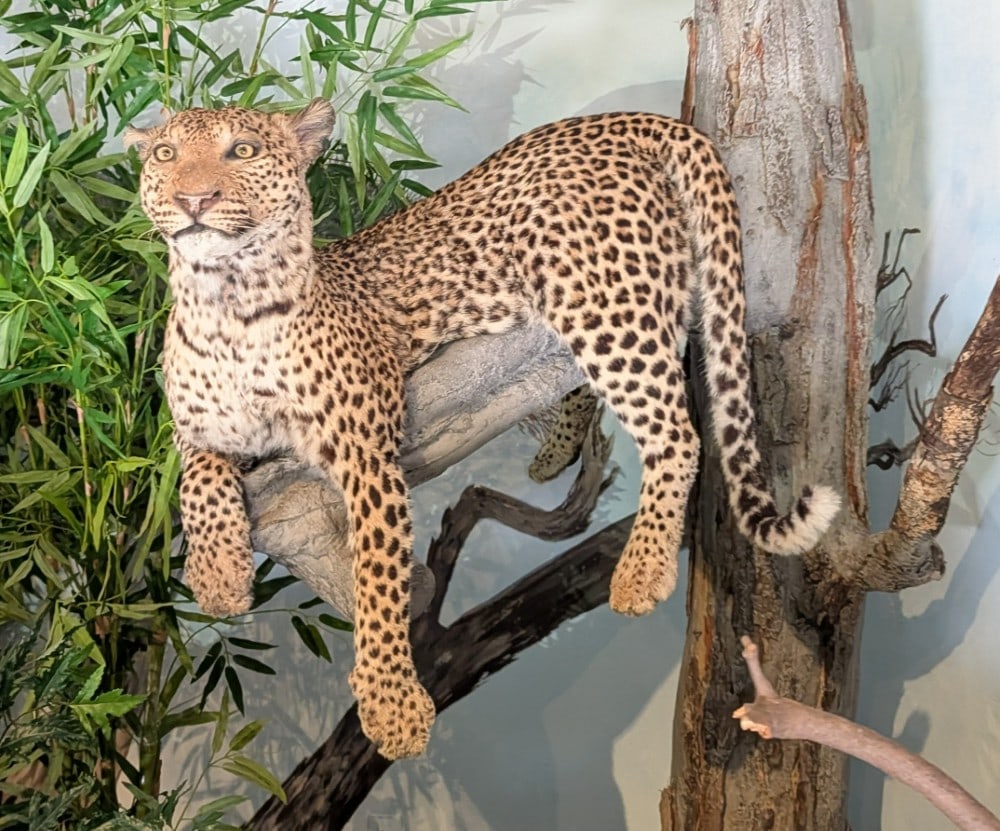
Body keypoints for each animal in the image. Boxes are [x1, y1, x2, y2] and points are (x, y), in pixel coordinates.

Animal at [124, 99, 840, 761]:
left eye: (242, 150)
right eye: (164, 154)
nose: (193, 197)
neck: (225, 301)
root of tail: (627, 118)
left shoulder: (367, 456)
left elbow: (378, 582)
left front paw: (391, 707)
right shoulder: (197, 433)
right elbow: (196, 484)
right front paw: (219, 576)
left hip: (601, 301)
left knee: (675, 431)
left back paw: (642, 571)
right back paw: (556, 453)